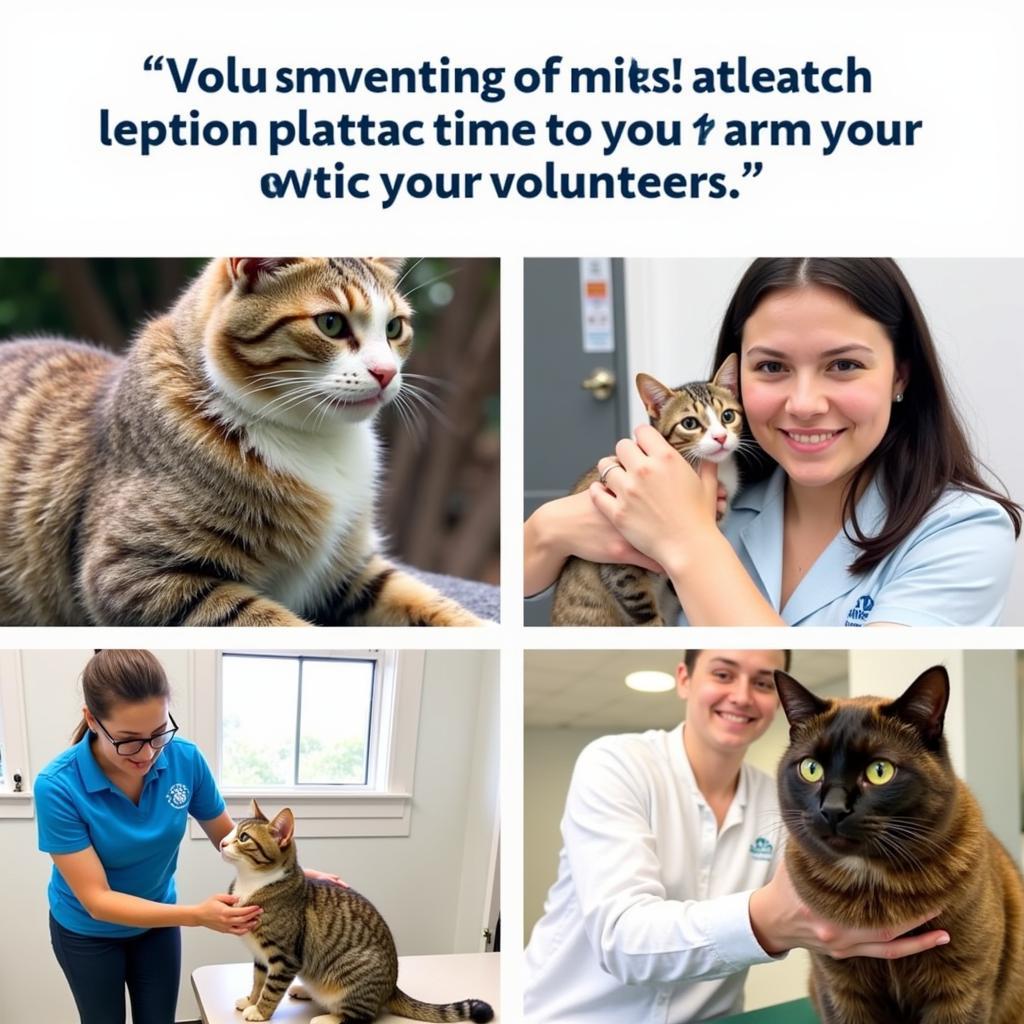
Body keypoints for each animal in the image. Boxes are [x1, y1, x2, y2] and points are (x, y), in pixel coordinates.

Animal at [223, 802, 495, 1019]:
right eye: (231, 831)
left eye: (244, 837)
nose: (222, 842)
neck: (252, 883)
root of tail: (392, 987)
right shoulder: (261, 957)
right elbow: (258, 981)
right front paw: (251, 1000)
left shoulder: (284, 957)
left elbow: (271, 989)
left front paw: (259, 1011)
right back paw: (304, 990)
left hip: (353, 974)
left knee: (360, 1016)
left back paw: (326, 1019)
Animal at [774, 663, 1024, 1024]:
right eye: (811, 768)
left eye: (880, 771)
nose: (833, 809)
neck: (874, 889)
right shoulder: (840, 989)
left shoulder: (961, 990)